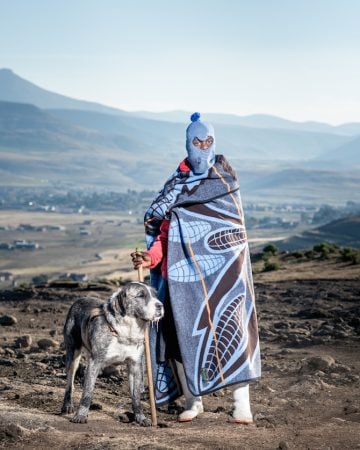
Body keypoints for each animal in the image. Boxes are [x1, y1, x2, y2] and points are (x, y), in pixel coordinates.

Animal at [61, 282, 164, 426]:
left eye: (155, 295)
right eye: (140, 295)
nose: (160, 305)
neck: (126, 330)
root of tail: (78, 300)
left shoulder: (135, 365)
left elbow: (136, 396)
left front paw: (141, 418)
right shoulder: (95, 362)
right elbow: (87, 392)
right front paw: (80, 415)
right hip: (73, 355)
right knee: (70, 382)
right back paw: (67, 406)